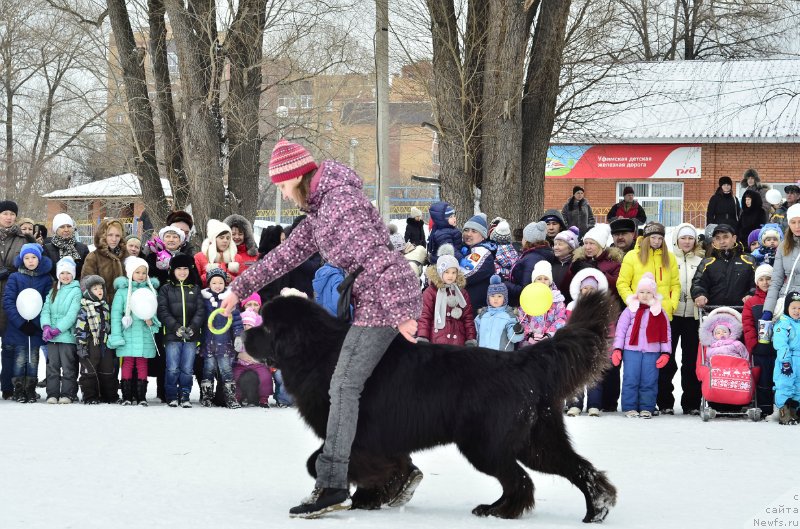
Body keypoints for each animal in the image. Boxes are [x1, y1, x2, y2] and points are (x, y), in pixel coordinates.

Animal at [244, 288, 620, 520]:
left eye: (267, 327)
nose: (244, 334)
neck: (318, 352)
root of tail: (522, 361)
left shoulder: (354, 433)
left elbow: (321, 461)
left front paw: (356, 496)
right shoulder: (380, 440)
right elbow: (395, 466)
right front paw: (386, 493)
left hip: (486, 444)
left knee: (520, 479)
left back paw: (499, 510)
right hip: (537, 441)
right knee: (577, 469)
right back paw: (597, 508)